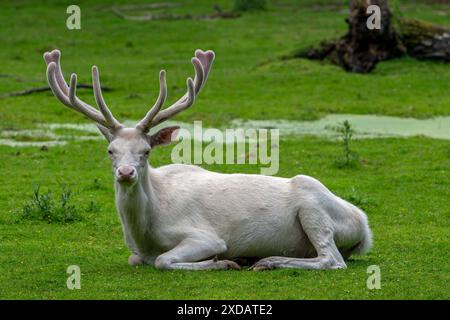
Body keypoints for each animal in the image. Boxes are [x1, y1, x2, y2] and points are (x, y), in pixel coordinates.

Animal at [44, 49, 372, 270]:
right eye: (110, 150)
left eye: (146, 151)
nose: (125, 173)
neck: (145, 231)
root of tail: (364, 225)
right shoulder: (136, 251)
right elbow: (134, 259)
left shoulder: (206, 236)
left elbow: (164, 260)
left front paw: (223, 262)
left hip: (313, 207)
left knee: (332, 259)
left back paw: (266, 260)